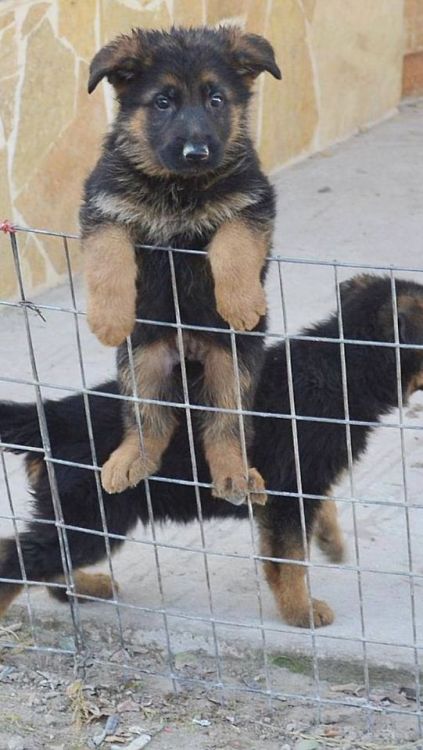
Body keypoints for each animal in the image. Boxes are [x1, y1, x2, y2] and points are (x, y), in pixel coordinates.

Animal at [0, 276, 423, 628]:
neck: (344, 367)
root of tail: (56, 414)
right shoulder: (289, 496)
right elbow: (289, 561)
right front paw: (301, 612)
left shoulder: (298, 486)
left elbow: (309, 525)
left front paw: (330, 541)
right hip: (94, 515)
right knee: (17, 559)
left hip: (78, 518)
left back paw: (86, 588)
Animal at [81, 25, 284, 506]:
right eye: (162, 102)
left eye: (216, 100)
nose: (197, 152)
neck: (178, 186)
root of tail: (188, 346)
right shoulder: (103, 208)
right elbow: (107, 258)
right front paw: (108, 318)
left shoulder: (252, 203)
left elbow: (232, 245)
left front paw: (240, 302)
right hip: (142, 362)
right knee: (151, 420)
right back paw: (130, 459)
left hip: (232, 365)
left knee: (225, 425)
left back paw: (235, 475)